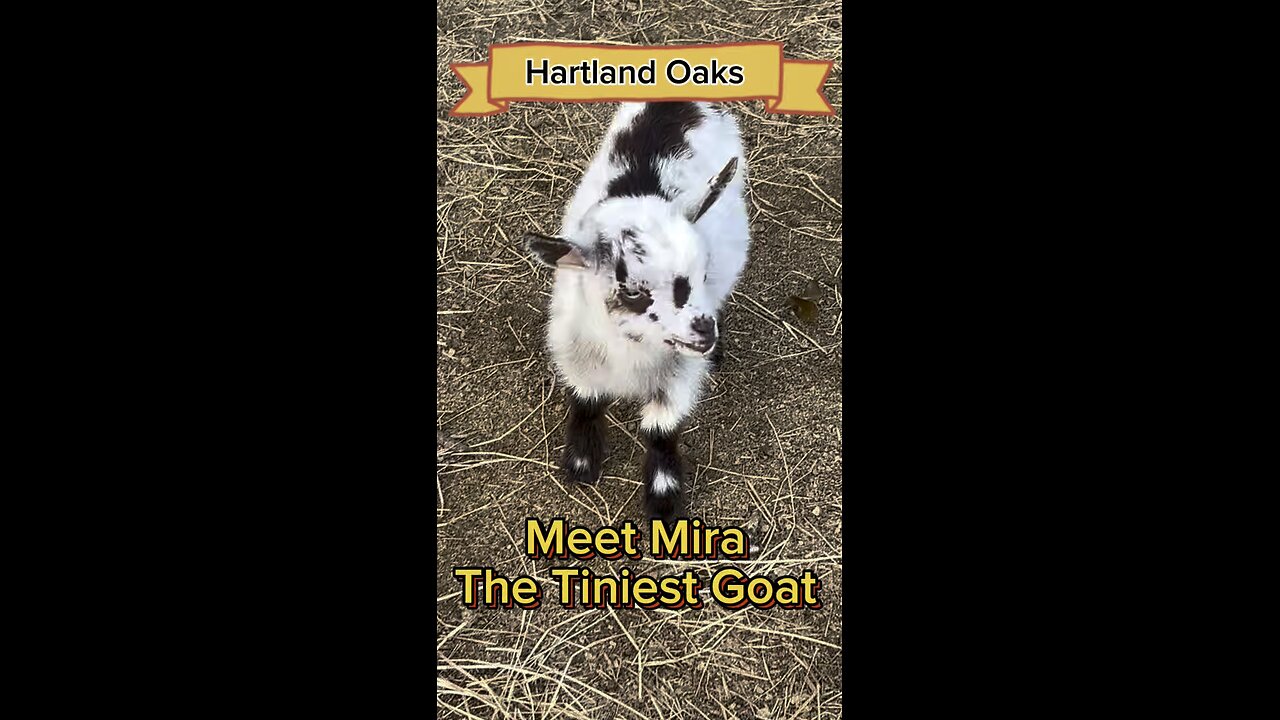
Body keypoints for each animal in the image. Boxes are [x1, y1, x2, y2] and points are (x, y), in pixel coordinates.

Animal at [523, 101, 750, 522]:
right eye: (632, 292)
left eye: (703, 273)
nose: (705, 331)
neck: (630, 354)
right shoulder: (575, 348)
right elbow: (586, 398)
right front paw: (582, 462)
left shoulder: (679, 374)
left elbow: (661, 428)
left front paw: (663, 497)